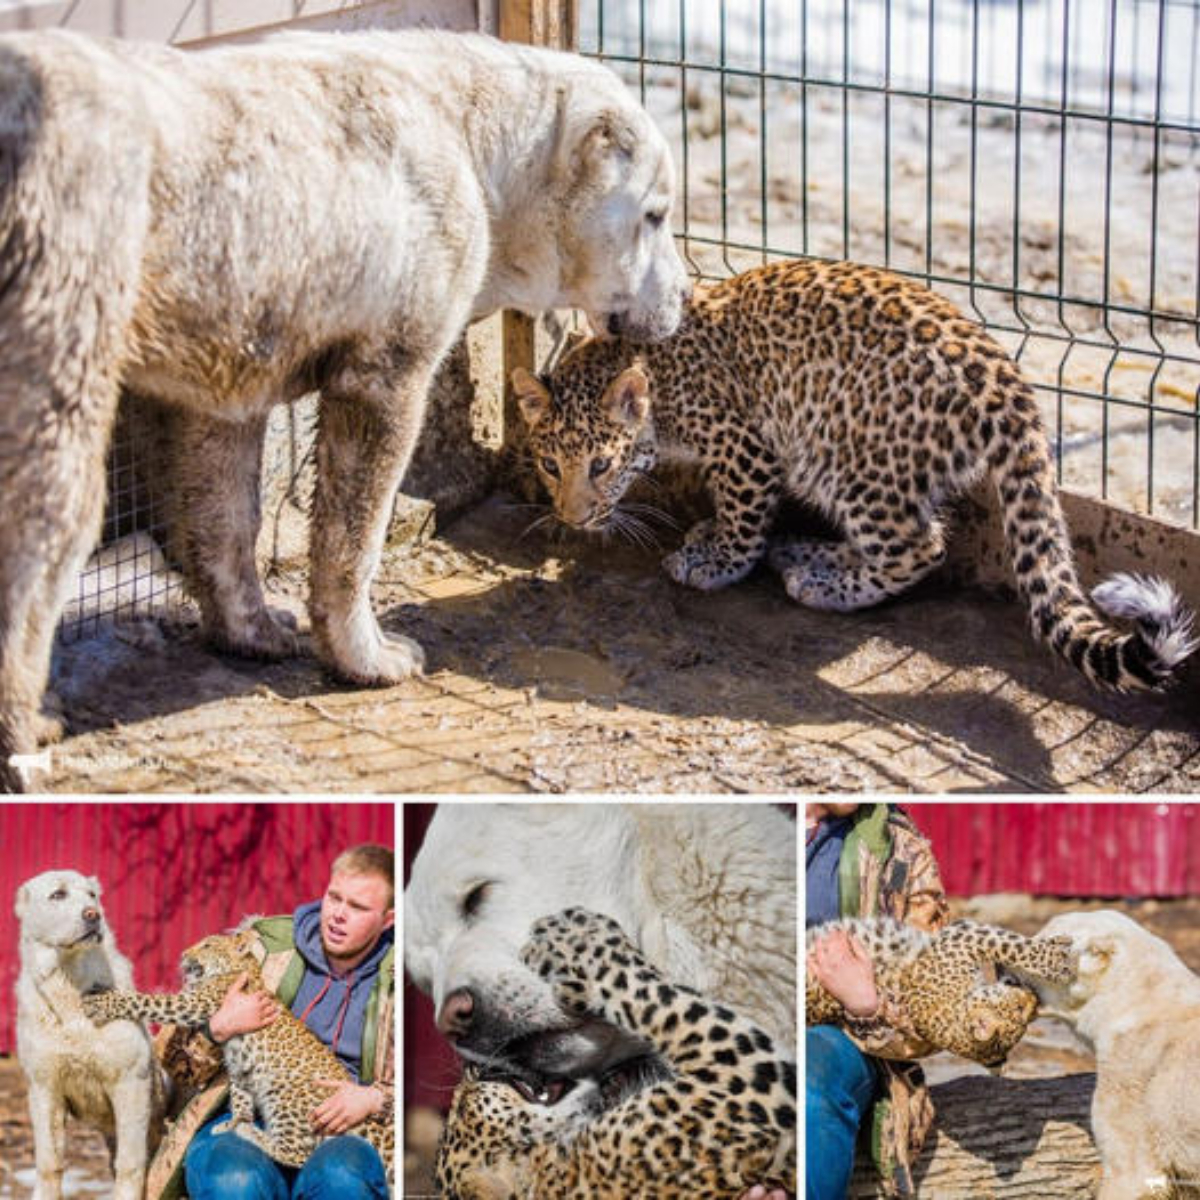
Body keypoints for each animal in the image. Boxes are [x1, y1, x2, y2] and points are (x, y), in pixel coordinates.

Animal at [0, 28, 696, 787]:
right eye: (655, 215)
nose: (687, 296)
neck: (478, 146)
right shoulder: (384, 372)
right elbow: (350, 539)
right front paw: (366, 658)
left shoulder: (231, 376)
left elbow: (226, 521)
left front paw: (252, 631)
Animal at [15, 873, 166, 1200]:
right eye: (58, 895)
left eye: (92, 896)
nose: (93, 915)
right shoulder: (44, 1089)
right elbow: (49, 1163)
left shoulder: (131, 1082)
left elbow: (130, 1163)